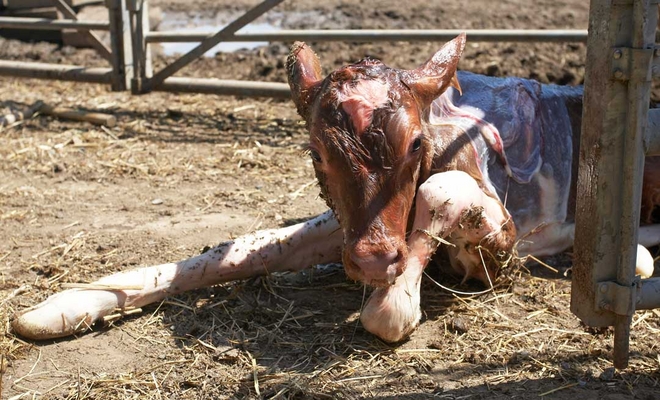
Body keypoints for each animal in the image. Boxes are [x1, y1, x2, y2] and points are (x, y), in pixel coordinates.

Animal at [11, 34, 660, 343]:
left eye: (416, 145)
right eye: (318, 151)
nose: (374, 259)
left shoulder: (504, 235)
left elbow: (440, 194)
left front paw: (395, 303)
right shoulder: (348, 228)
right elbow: (241, 249)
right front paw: (65, 305)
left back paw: (632, 256)